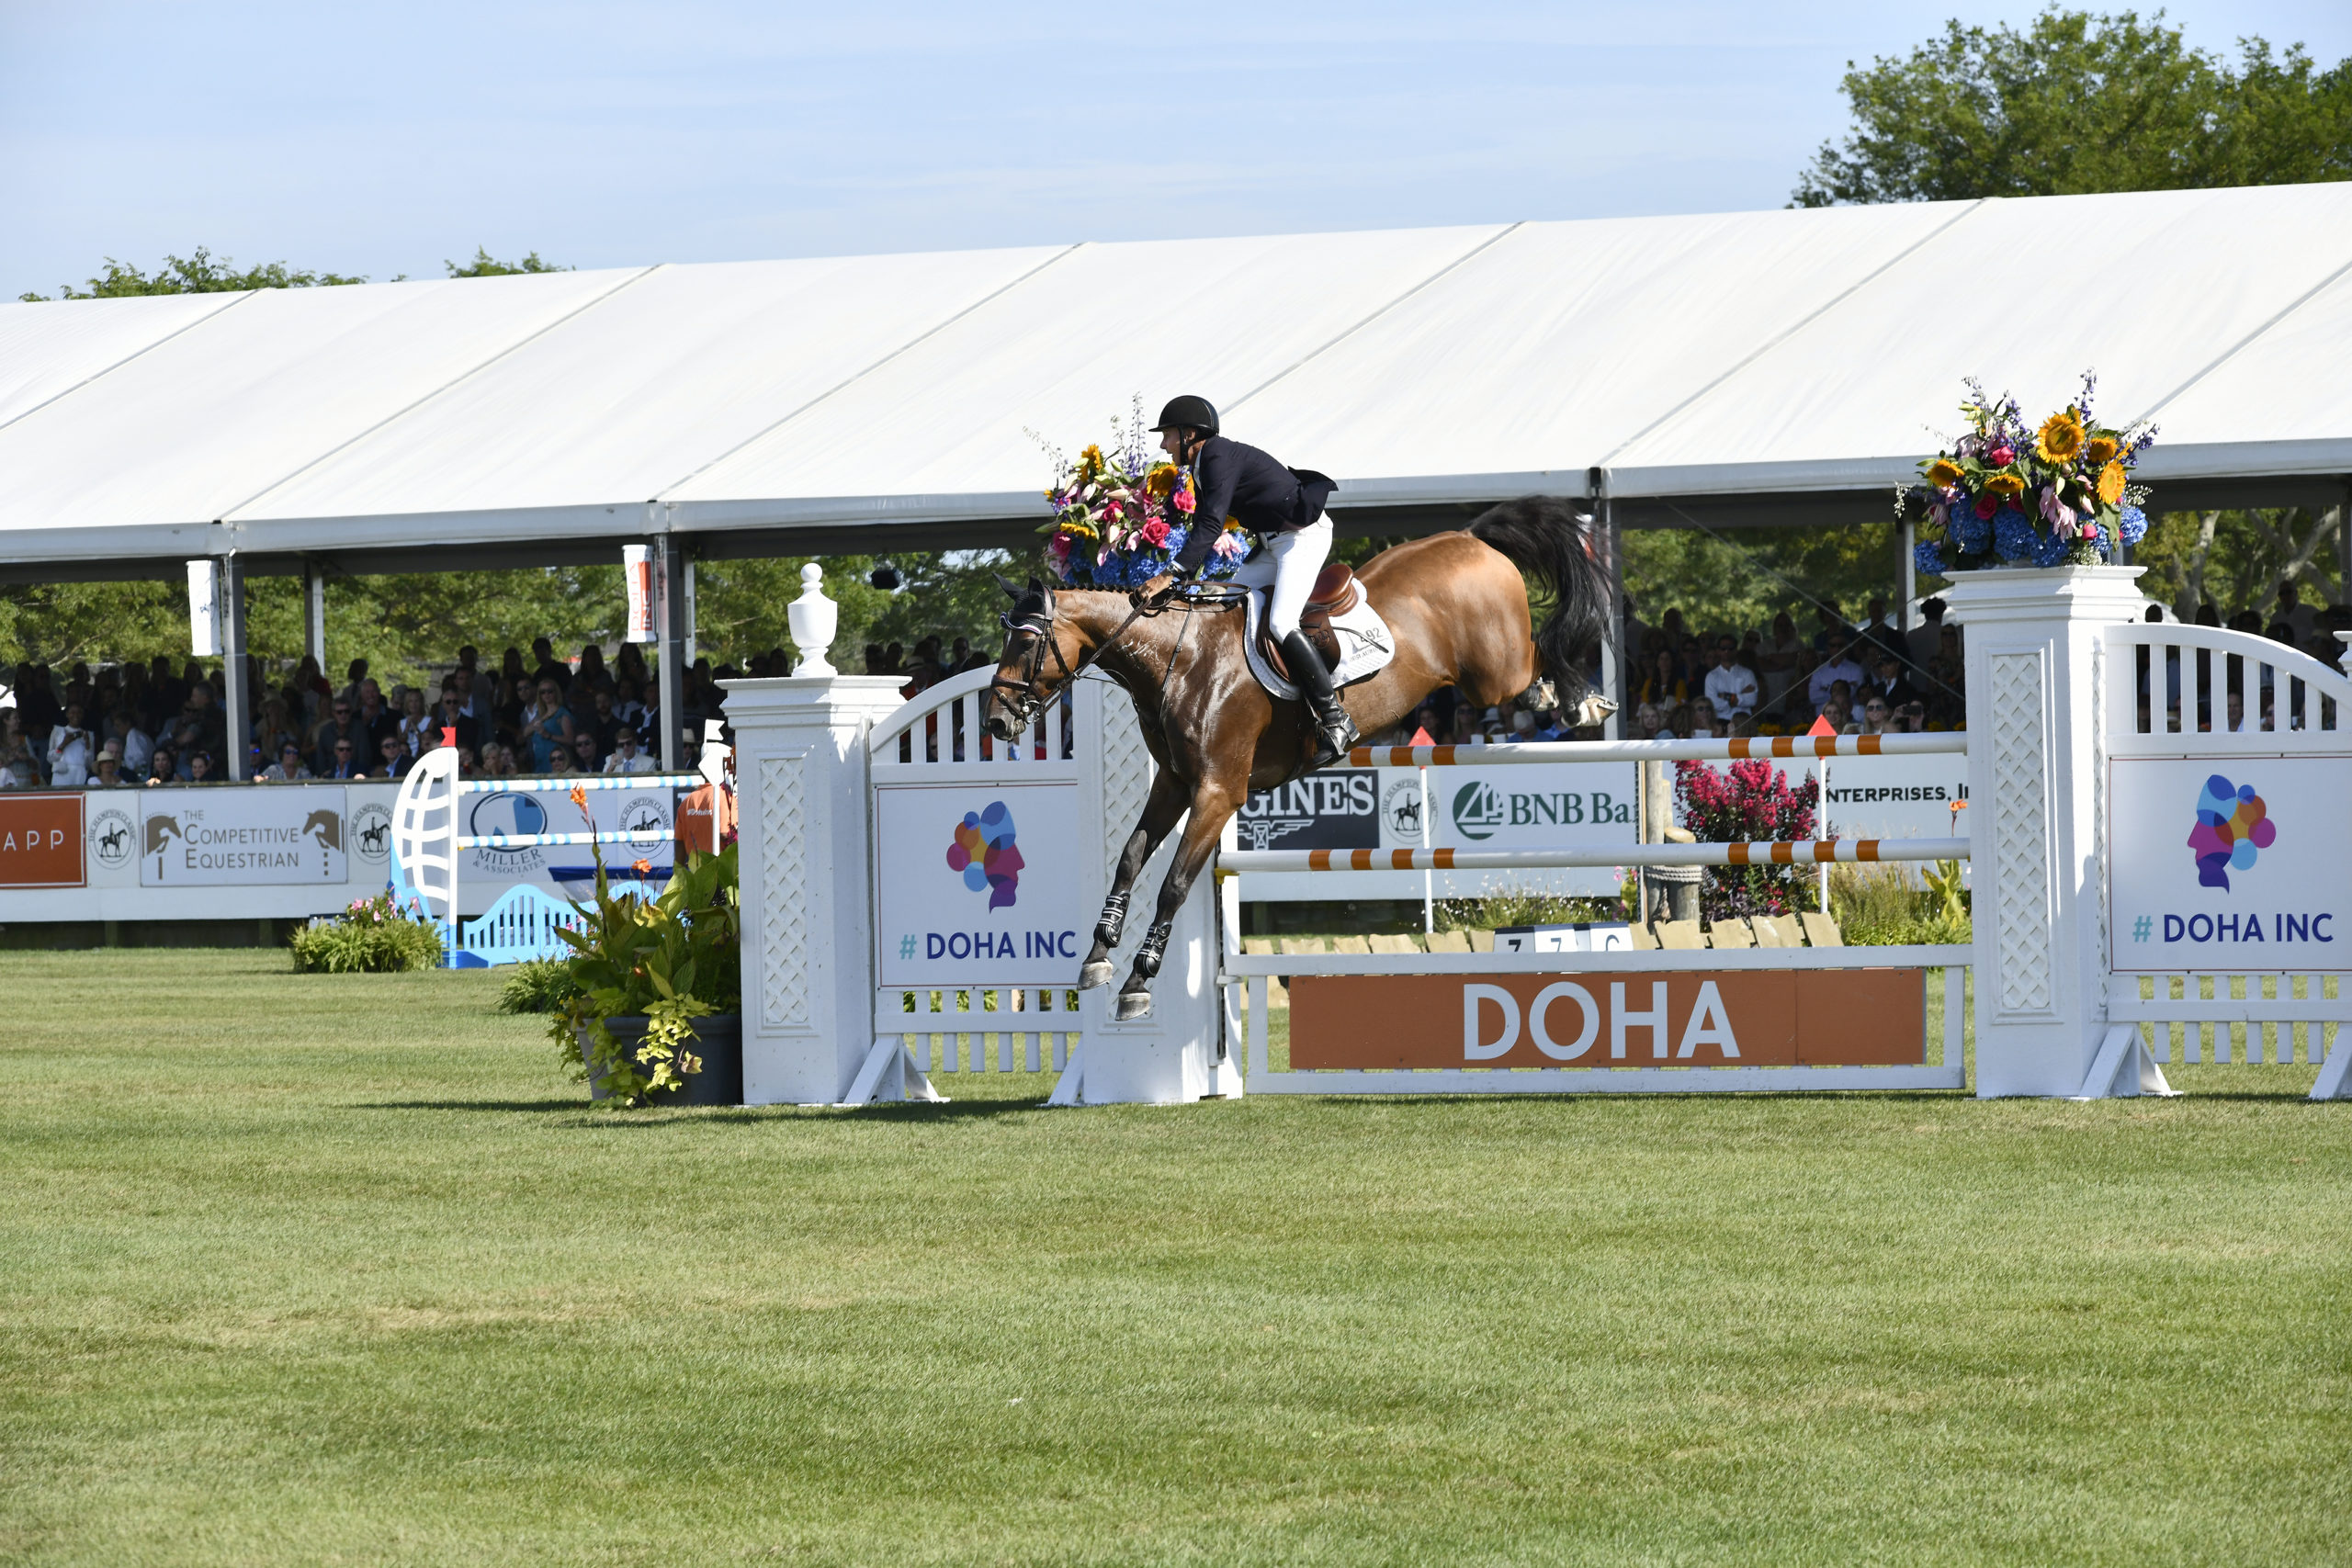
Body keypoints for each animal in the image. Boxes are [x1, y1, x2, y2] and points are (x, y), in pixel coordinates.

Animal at [985, 495, 1610, 1019]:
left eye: (1026, 641)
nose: (994, 722)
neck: (1179, 658)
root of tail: (1469, 536)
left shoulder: (1217, 792)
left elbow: (1174, 885)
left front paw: (1138, 984)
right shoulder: (1175, 783)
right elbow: (1130, 858)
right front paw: (1097, 956)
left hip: (1492, 673)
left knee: (1540, 658)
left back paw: (1579, 702)